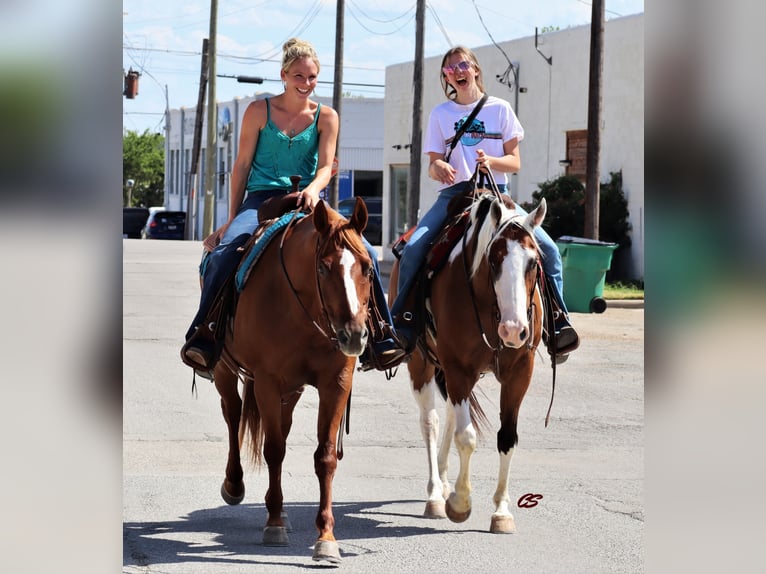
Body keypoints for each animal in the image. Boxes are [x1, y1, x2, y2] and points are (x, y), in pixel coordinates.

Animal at [213, 199, 376, 568]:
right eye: (324, 269)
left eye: (368, 269)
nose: (354, 335)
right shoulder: (268, 381)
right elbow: (273, 450)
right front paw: (273, 525)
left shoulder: (335, 383)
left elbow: (325, 457)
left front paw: (326, 539)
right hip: (224, 370)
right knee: (232, 414)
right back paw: (235, 484)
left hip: (292, 390)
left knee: (281, 428)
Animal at [392, 194, 548, 536]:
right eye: (494, 259)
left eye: (533, 262)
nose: (513, 330)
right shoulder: (457, 368)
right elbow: (467, 437)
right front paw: (460, 503)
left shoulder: (519, 372)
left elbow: (507, 438)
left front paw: (501, 512)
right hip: (423, 365)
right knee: (431, 421)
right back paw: (436, 494)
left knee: (451, 415)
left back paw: (444, 481)